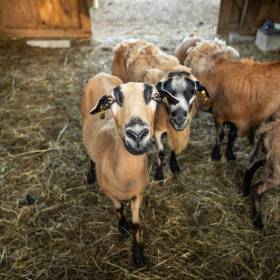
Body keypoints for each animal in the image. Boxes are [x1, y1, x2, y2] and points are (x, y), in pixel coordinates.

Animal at [81, 71, 178, 266]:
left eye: (156, 96)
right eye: (111, 100)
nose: (137, 134)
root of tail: (101, 74)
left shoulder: (139, 193)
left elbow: (136, 224)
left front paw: (138, 255)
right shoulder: (109, 192)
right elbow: (119, 210)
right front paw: (122, 228)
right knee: (89, 154)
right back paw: (90, 175)